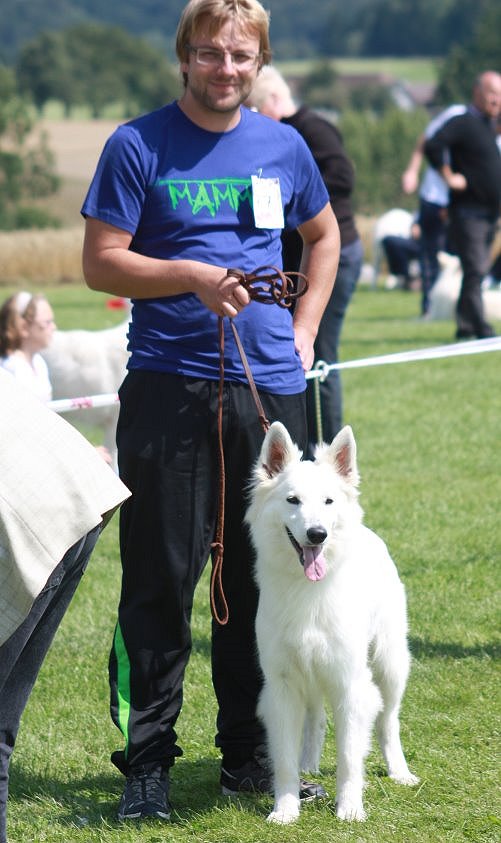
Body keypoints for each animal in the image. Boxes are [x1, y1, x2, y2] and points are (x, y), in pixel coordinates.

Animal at [245, 422, 419, 824]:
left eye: (328, 502)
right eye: (292, 500)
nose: (317, 534)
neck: (309, 591)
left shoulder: (350, 685)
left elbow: (349, 757)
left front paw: (350, 808)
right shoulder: (282, 687)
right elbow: (284, 761)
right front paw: (285, 809)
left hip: (389, 664)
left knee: (388, 721)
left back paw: (399, 771)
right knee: (315, 718)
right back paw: (308, 764)